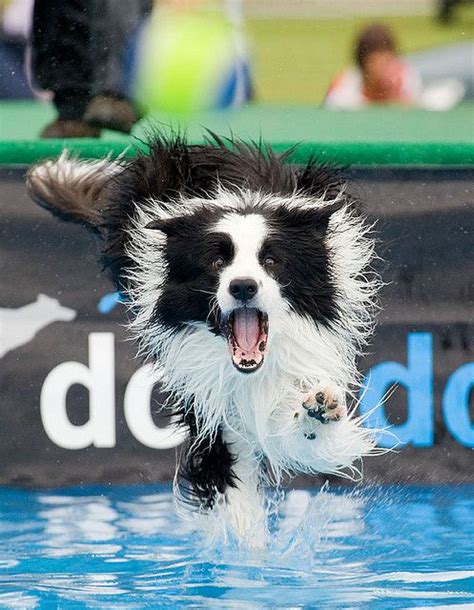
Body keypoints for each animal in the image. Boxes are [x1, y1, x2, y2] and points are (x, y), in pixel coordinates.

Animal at [27, 135, 380, 544]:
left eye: (271, 261)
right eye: (216, 262)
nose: (243, 286)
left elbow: (307, 433)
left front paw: (319, 410)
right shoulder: (211, 408)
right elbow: (234, 488)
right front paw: (249, 552)